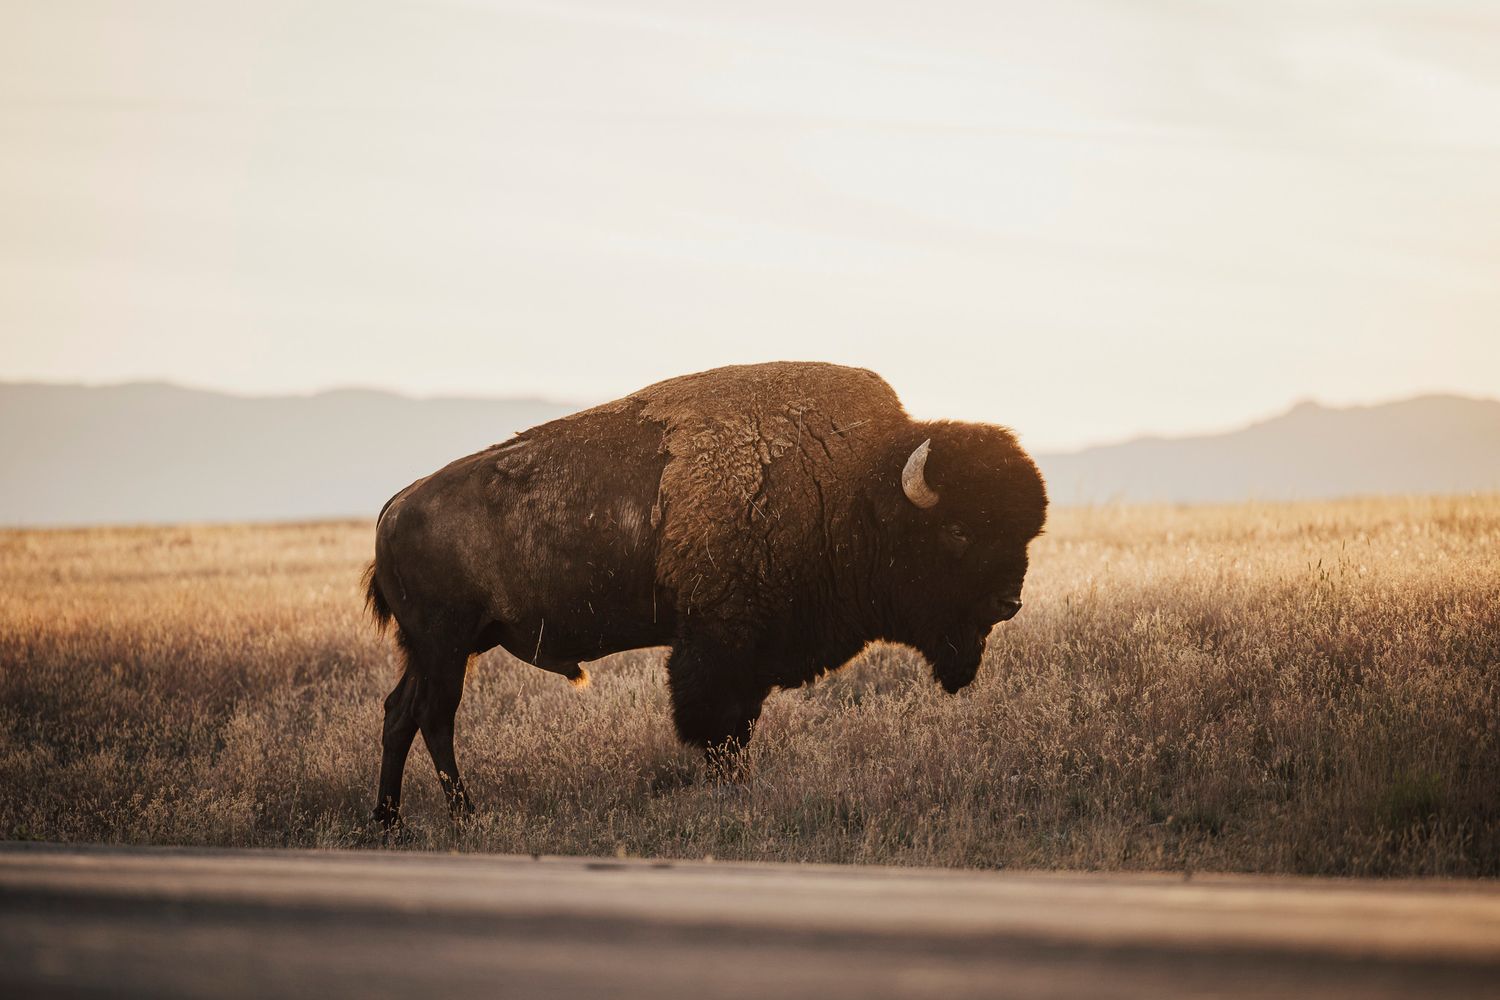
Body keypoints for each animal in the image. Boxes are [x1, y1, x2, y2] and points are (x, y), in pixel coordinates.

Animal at [365, 362, 1047, 827]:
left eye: (1025, 533)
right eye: (957, 531)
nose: (1008, 603)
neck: (849, 488)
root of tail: (395, 507)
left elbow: (738, 727)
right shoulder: (719, 646)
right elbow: (721, 731)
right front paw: (733, 792)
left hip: (439, 648)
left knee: (400, 713)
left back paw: (391, 823)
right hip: (446, 644)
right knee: (434, 716)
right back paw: (464, 816)